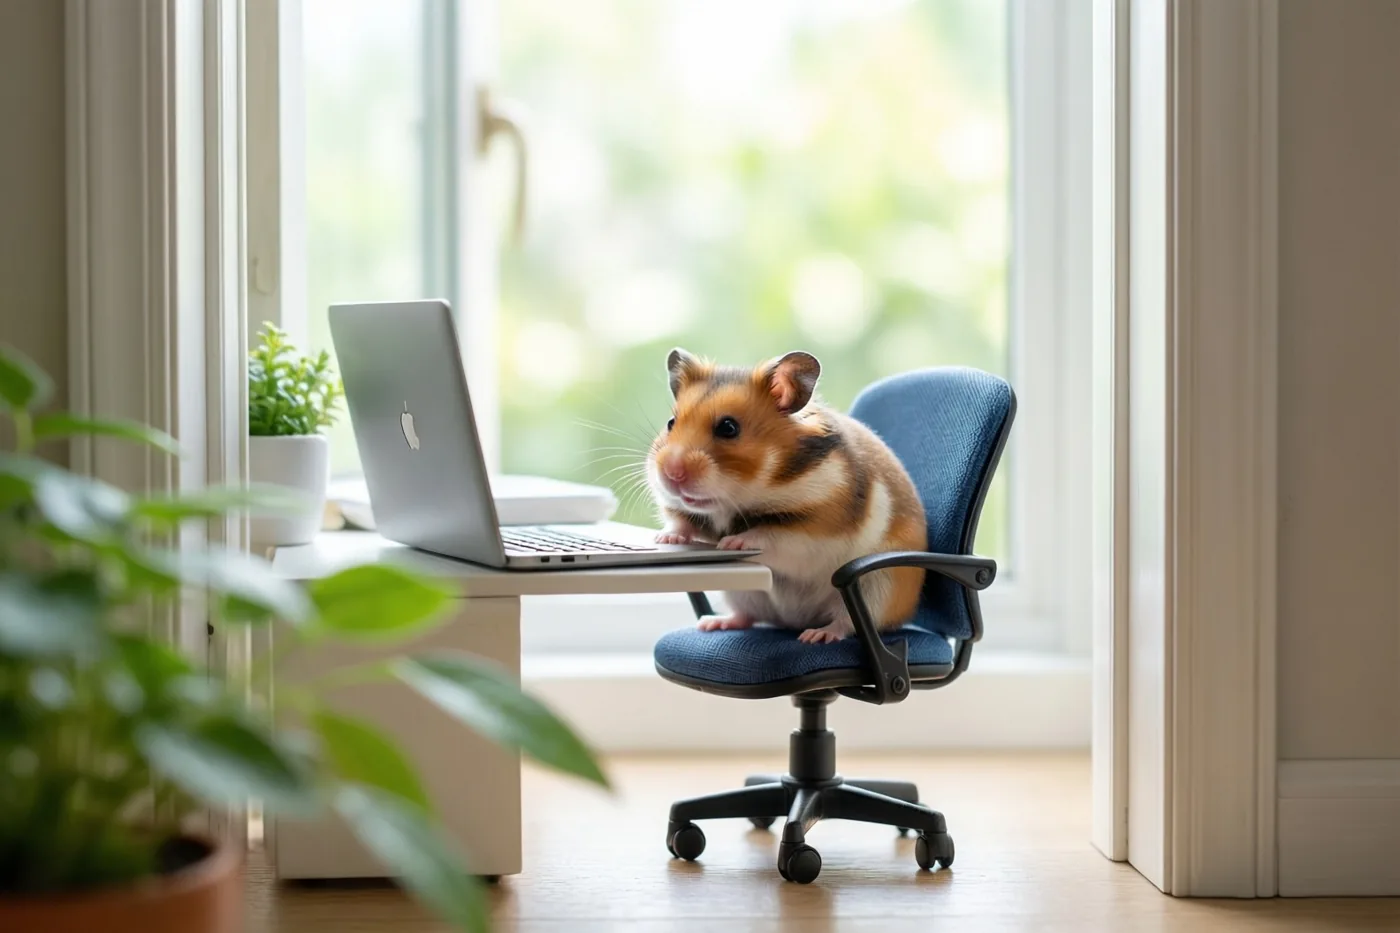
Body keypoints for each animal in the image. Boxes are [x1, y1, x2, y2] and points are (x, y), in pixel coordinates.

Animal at [646, 348, 927, 644]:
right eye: (671, 423)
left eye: (728, 428)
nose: (671, 473)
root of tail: (792, 621)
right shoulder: (683, 510)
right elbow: (681, 521)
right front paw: (664, 538)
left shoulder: (816, 530)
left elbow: (770, 535)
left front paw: (731, 543)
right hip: (742, 593)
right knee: (746, 616)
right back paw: (713, 623)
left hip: (877, 586)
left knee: (846, 623)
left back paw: (816, 636)